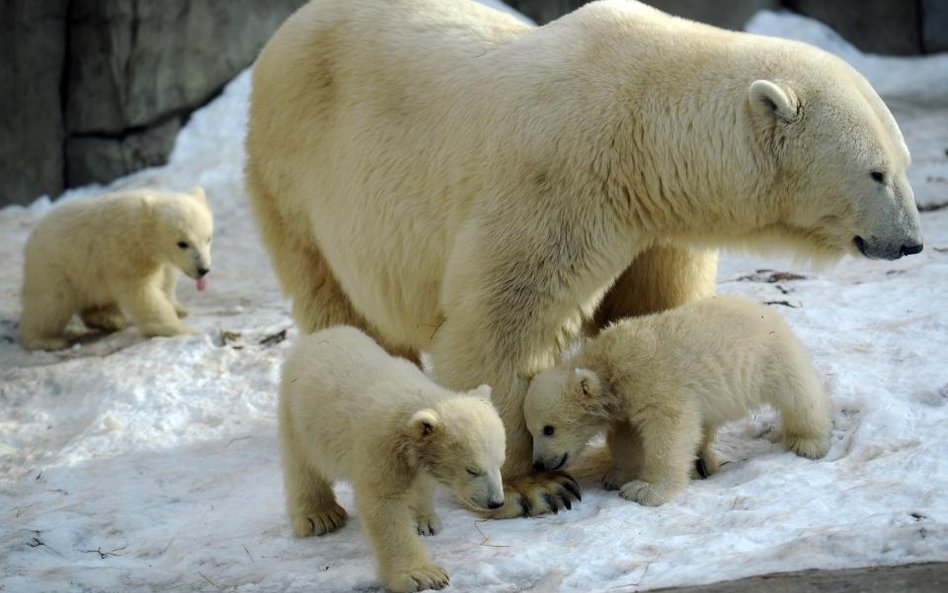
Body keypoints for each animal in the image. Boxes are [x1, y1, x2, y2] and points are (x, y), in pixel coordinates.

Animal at [244, 0, 920, 520]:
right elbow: (502, 322)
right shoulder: (557, 179)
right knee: (338, 305)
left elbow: (655, 314)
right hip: (299, 183)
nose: (912, 242)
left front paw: (692, 452)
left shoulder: (657, 224)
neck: (644, 130)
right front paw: (533, 485)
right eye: (876, 171)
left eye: (905, 163)